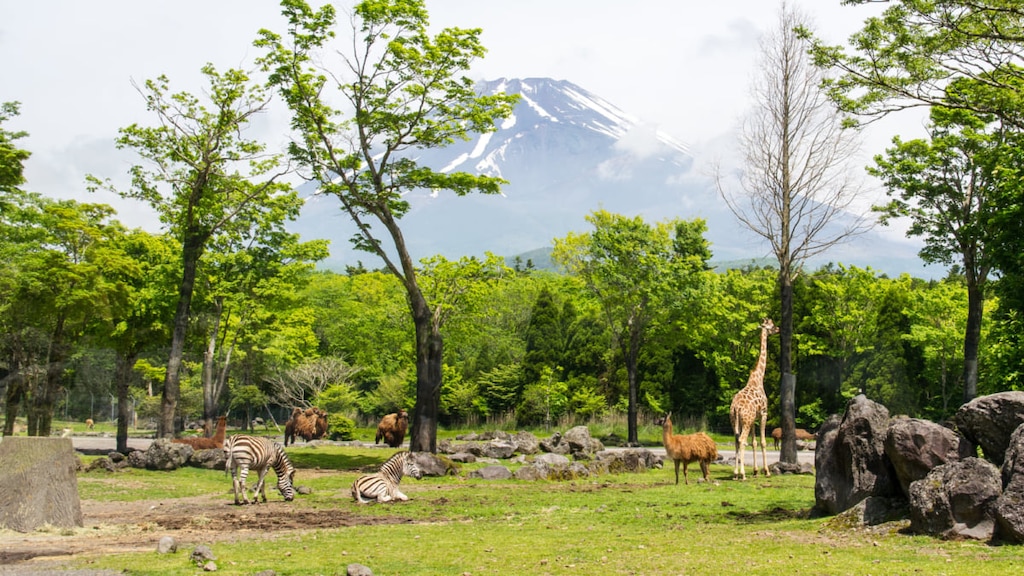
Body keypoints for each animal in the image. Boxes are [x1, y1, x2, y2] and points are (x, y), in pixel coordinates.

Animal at [733, 315, 778, 477]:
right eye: (771, 325)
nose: (778, 329)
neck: (758, 379)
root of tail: (736, 408)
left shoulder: (754, 419)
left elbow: (754, 442)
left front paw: (756, 471)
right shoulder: (763, 413)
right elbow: (763, 442)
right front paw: (766, 471)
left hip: (736, 421)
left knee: (737, 440)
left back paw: (736, 473)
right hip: (745, 421)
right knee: (741, 440)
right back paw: (742, 474)